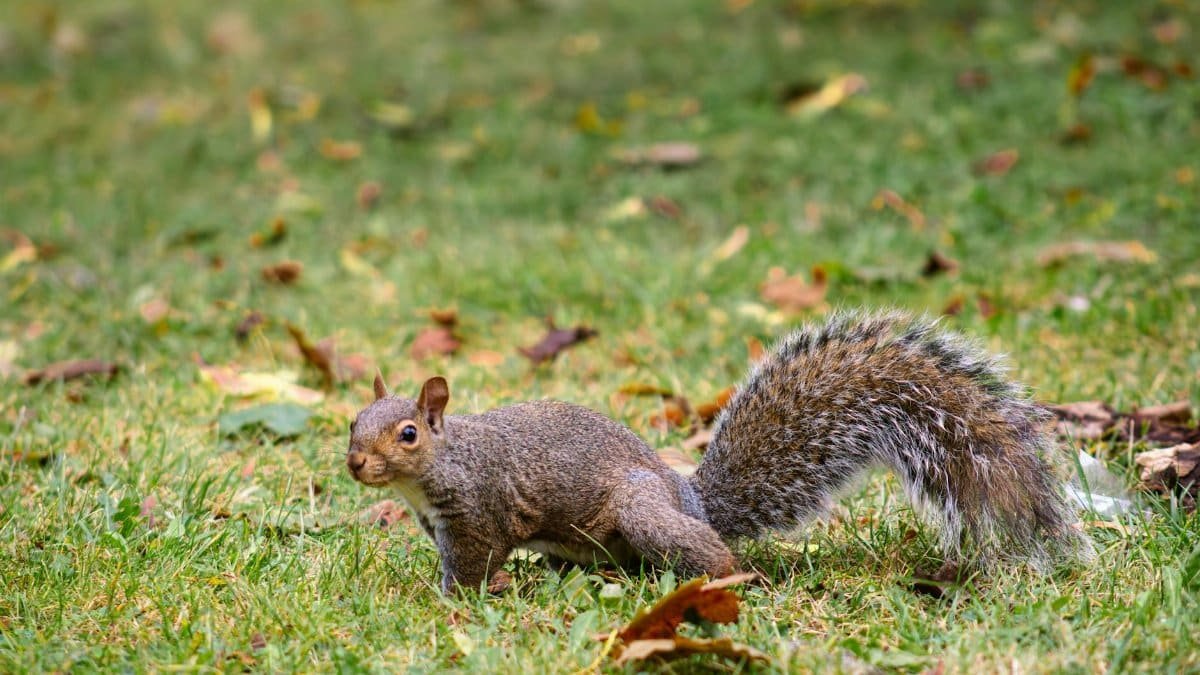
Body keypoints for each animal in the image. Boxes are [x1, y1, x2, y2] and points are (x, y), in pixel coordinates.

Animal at [346, 310, 1094, 594]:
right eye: (353, 421)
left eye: (408, 433)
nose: (354, 464)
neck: (442, 464)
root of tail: (692, 500)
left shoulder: (478, 512)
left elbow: (474, 563)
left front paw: (453, 599)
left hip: (642, 511)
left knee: (709, 554)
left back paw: (730, 578)